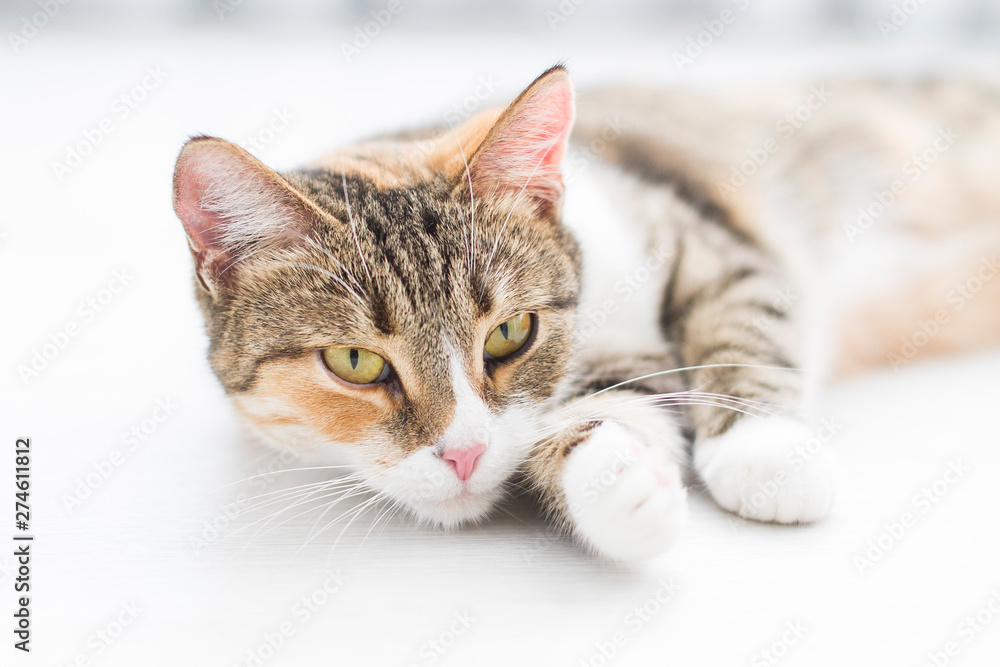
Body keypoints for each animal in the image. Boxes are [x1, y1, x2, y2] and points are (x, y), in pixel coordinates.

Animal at [172, 66, 1000, 560]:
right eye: (356, 362)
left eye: (511, 332)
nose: (463, 455)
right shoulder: (617, 368)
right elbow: (614, 408)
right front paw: (621, 484)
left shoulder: (697, 229)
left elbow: (743, 312)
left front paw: (765, 451)